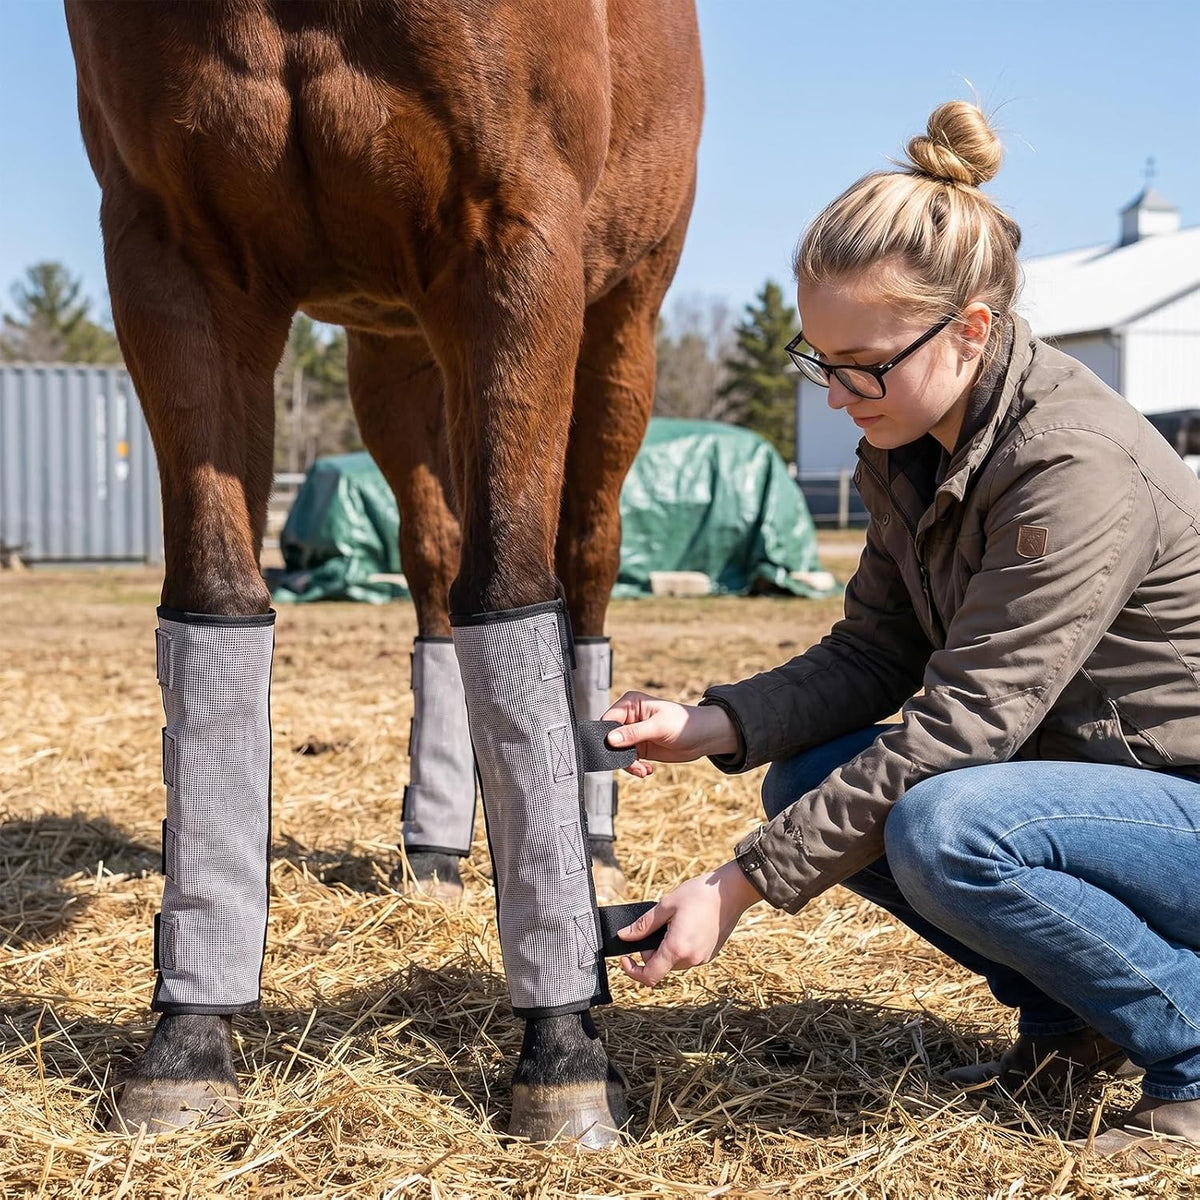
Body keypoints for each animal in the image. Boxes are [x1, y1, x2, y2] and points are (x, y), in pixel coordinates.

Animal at [65, 0, 702, 1146]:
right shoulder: (172, 256)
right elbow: (218, 599)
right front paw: (187, 1035)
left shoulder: (515, 241)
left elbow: (516, 590)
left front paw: (563, 1044)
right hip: (397, 347)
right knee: (438, 570)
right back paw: (439, 848)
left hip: (617, 320)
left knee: (581, 560)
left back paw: (590, 840)